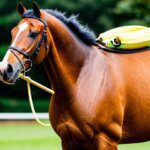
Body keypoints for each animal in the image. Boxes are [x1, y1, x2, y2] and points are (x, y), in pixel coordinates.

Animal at [0, 1, 150, 149]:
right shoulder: (68, 141)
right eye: (13, 32)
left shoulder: (107, 141)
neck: (80, 83)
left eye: (33, 33)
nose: (5, 69)